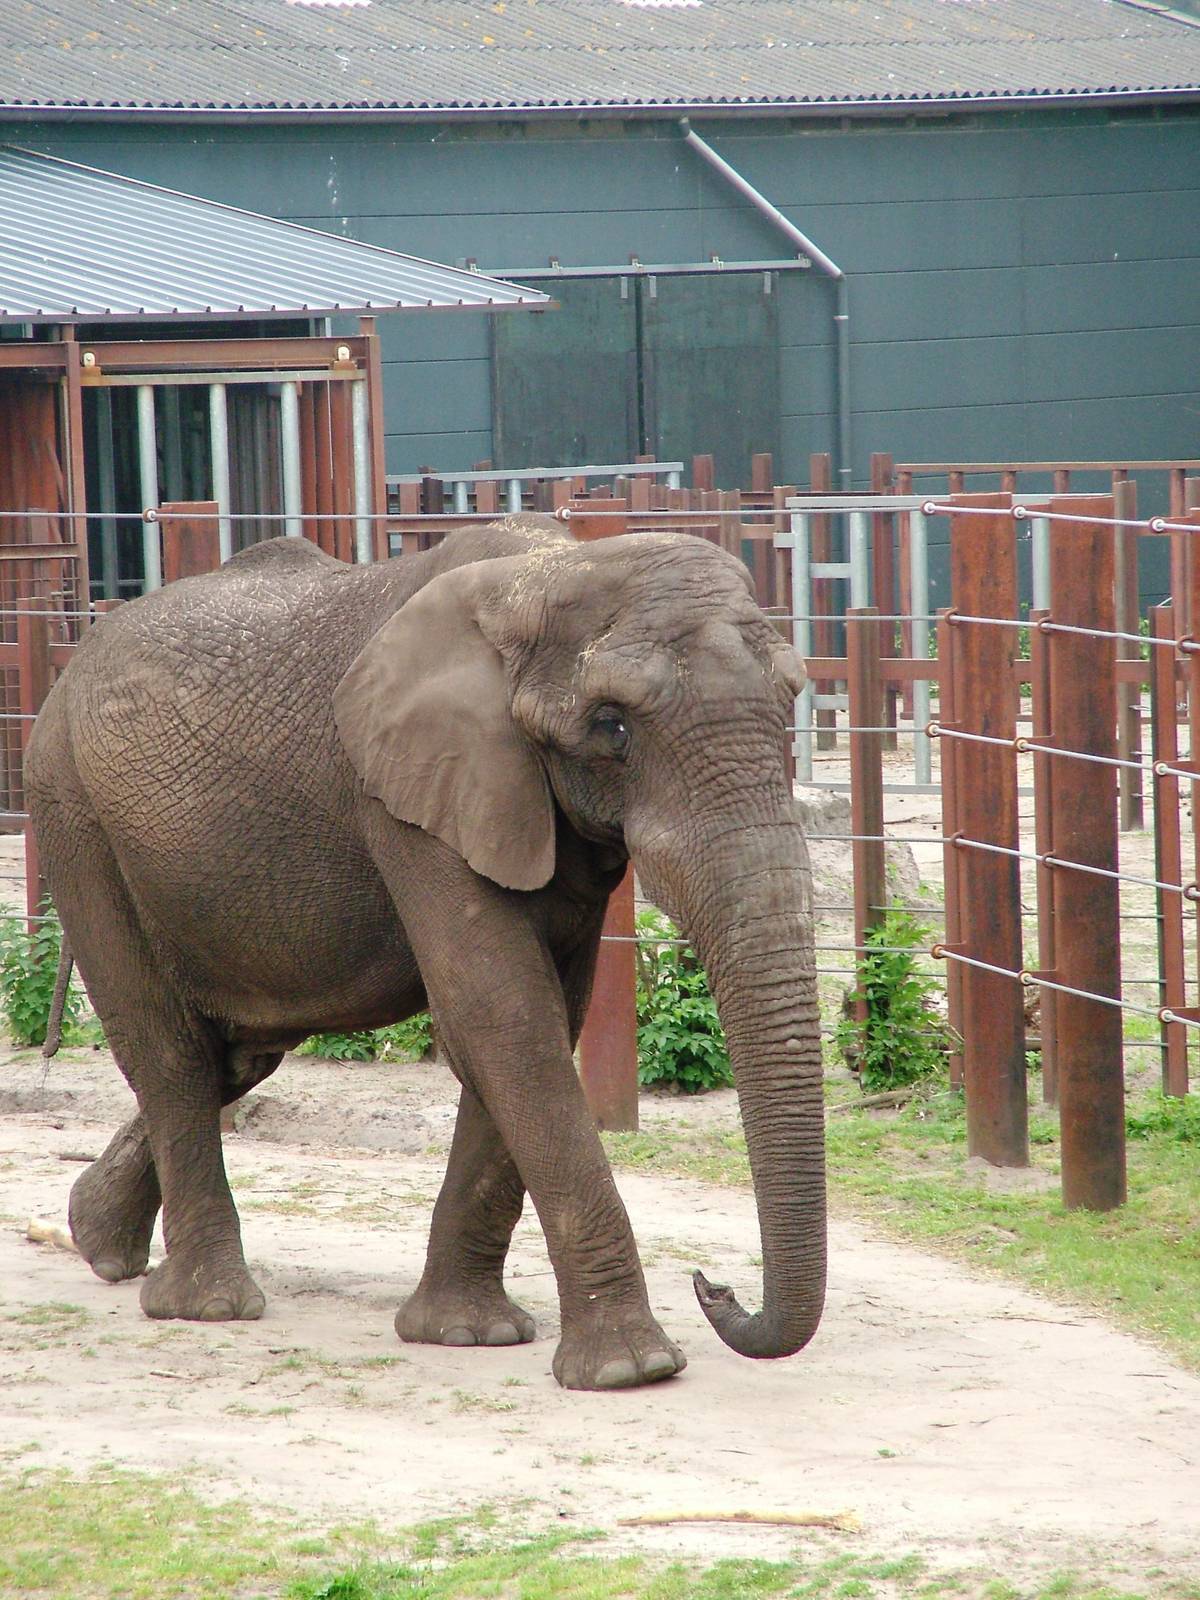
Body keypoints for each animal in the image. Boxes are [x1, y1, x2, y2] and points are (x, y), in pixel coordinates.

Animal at [24, 512, 825, 1391]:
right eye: (611, 726)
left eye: (791, 699)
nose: (715, 1287)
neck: (547, 577)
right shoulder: (408, 797)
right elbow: (503, 1016)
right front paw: (632, 1370)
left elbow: (537, 1022)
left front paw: (467, 1334)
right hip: (73, 813)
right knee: (166, 1053)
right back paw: (207, 1305)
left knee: (231, 1057)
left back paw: (97, 1240)